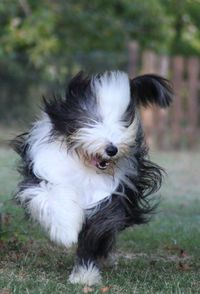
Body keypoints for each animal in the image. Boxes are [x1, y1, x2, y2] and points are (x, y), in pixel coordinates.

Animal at [12, 70, 173, 284]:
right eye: (94, 119)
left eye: (123, 122)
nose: (112, 149)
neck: (86, 166)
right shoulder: (46, 174)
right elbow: (52, 196)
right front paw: (65, 232)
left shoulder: (110, 195)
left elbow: (97, 229)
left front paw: (84, 275)